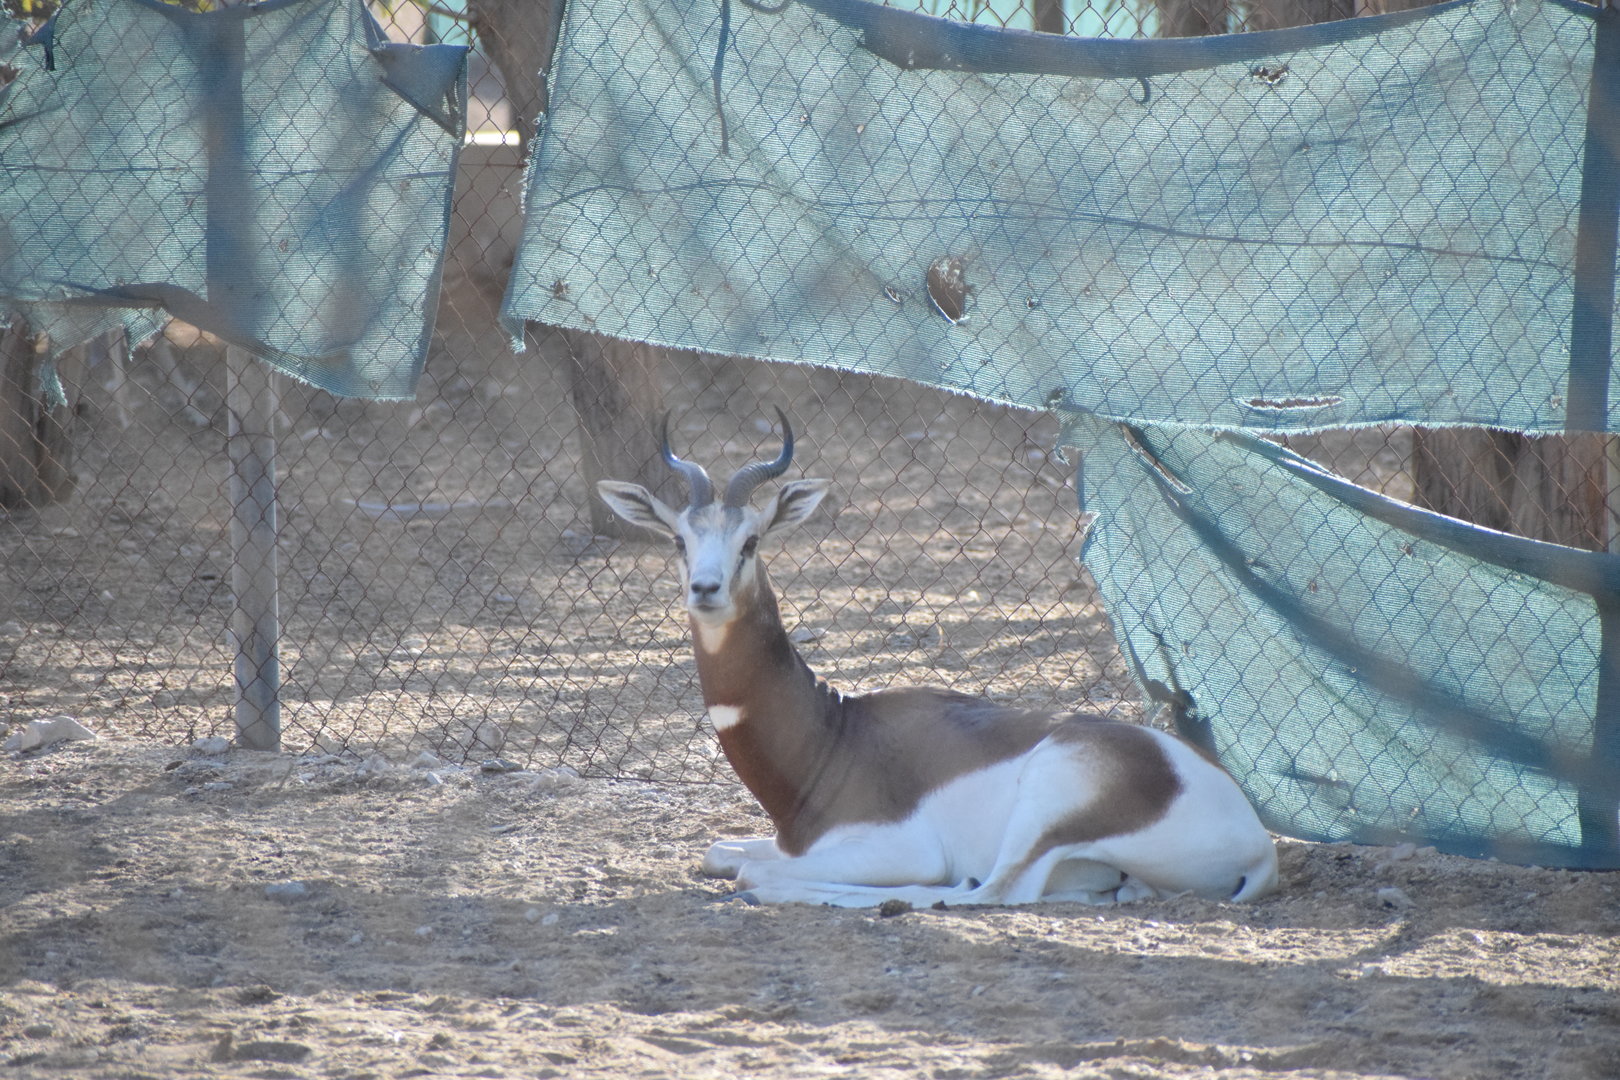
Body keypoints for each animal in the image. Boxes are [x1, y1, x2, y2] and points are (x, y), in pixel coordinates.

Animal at [597, 411, 1279, 908]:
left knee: (983, 892)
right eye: (679, 539)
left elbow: (753, 874)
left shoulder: (898, 848)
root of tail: (1259, 844)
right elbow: (719, 852)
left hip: (1045, 804)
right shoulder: (789, 843)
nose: (705, 589)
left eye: (751, 540)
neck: (833, 738)